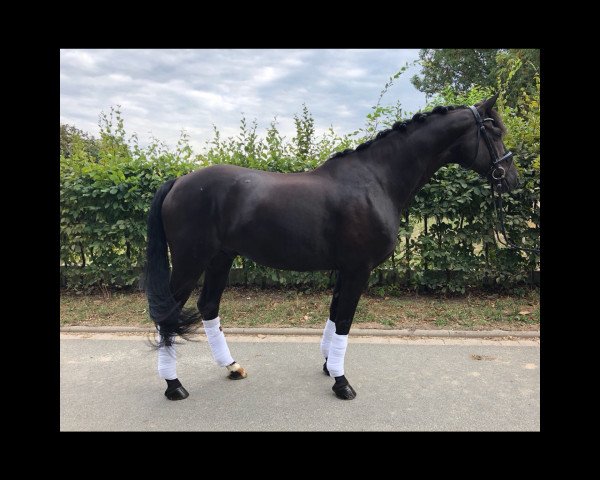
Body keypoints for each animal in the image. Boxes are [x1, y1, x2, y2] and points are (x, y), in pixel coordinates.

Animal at [143, 94, 516, 402]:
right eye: (494, 131)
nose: (512, 179)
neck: (375, 180)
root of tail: (178, 181)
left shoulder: (345, 269)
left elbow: (335, 316)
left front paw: (328, 367)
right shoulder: (358, 269)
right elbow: (345, 321)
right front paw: (341, 382)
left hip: (220, 259)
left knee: (208, 307)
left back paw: (232, 367)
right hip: (190, 263)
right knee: (167, 315)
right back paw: (174, 386)